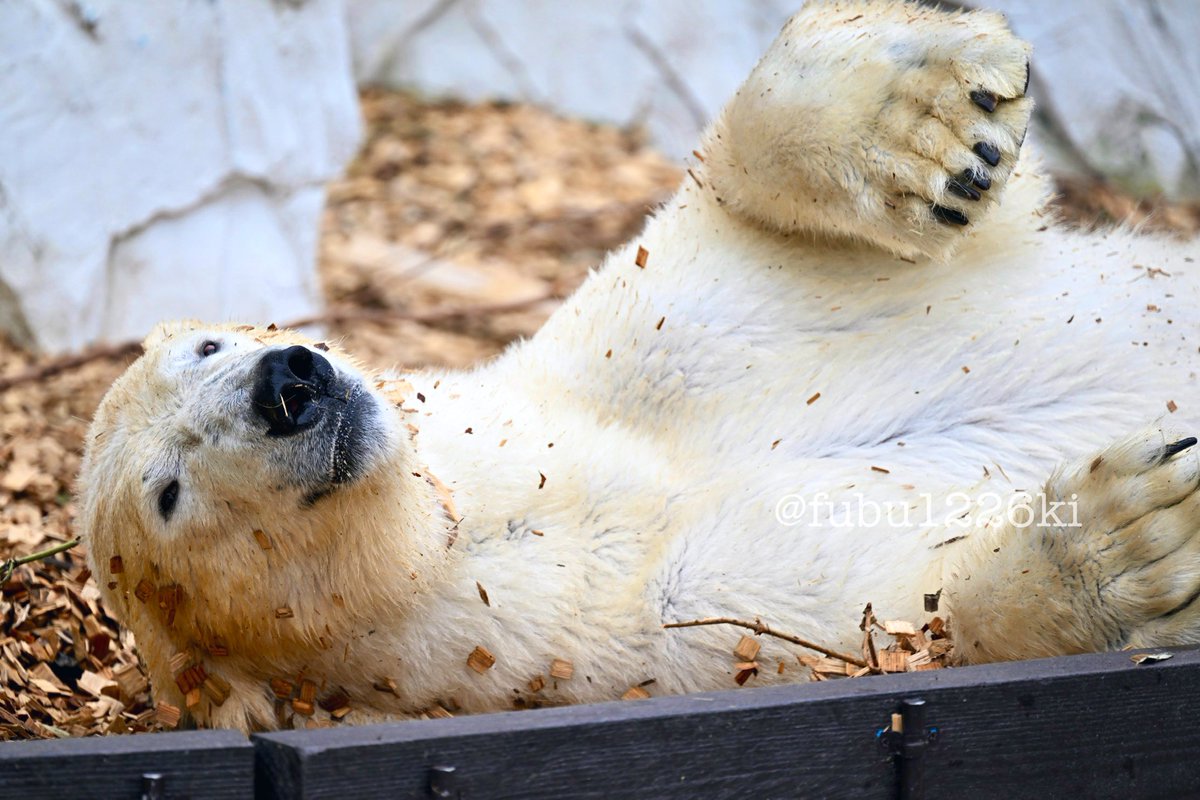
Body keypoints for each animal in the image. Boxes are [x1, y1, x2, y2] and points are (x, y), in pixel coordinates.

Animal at [79, 0, 1195, 734]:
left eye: (209, 345)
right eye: (170, 494)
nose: (287, 384)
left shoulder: (623, 356)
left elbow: (749, 227)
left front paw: (925, 117)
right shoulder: (622, 636)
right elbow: (885, 617)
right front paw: (1130, 546)